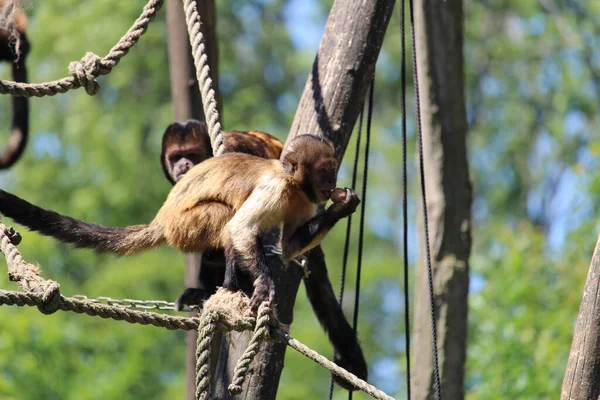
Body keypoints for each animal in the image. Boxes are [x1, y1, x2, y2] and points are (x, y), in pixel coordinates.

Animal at [0, 134, 358, 312]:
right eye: (324, 170)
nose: (332, 181)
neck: (293, 185)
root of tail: (162, 218)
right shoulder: (275, 187)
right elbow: (240, 228)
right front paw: (265, 285)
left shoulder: (306, 199)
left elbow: (290, 245)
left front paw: (343, 205)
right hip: (184, 226)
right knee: (225, 217)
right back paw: (230, 286)